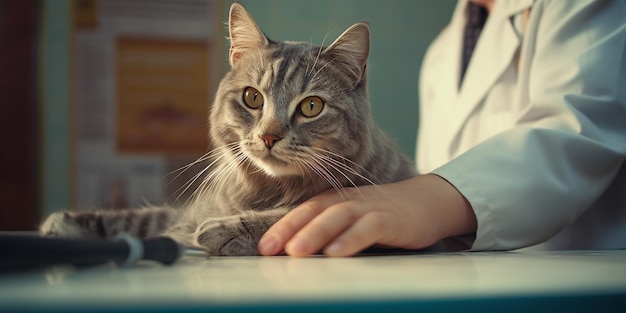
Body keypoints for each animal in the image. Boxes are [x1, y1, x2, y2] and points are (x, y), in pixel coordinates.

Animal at [37, 2, 414, 255]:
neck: (265, 189)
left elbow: (294, 212)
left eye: (311, 107)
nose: (269, 135)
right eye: (252, 97)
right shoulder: (186, 211)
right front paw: (62, 225)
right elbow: (142, 219)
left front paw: (229, 229)